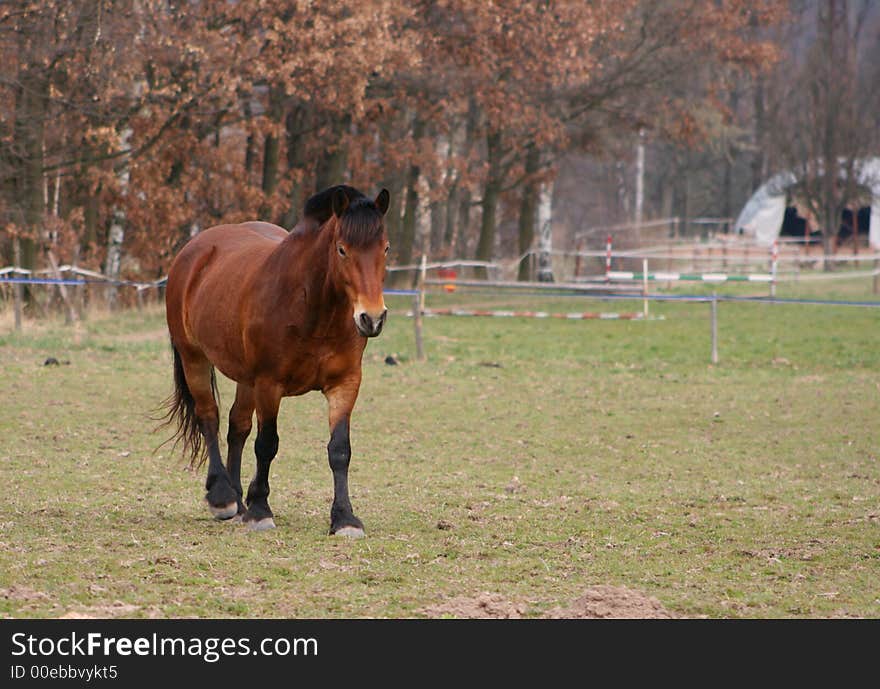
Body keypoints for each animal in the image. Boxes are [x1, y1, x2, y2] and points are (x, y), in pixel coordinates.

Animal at [162, 185, 388, 536]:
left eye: (385, 249)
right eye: (342, 250)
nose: (372, 318)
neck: (313, 309)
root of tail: (195, 250)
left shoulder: (345, 384)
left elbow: (339, 450)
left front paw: (345, 518)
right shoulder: (270, 384)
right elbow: (267, 443)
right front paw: (260, 510)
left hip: (245, 379)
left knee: (237, 427)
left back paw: (238, 501)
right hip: (194, 358)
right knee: (209, 418)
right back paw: (223, 497)